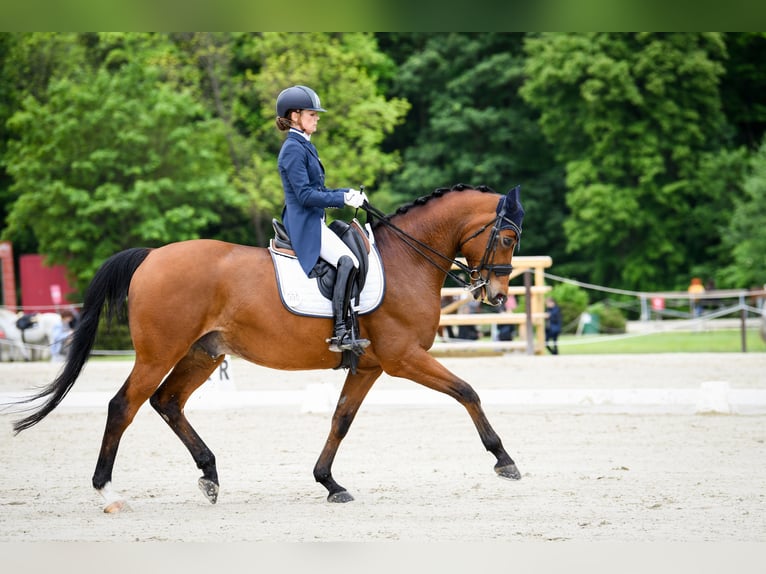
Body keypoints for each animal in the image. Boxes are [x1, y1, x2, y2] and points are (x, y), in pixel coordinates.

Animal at [12, 184, 524, 512]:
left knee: (167, 402)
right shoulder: (403, 358)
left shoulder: (369, 366)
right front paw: (504, 459)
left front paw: (329, 483)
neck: (406, 260)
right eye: (506, 236)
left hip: (203, 354)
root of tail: (151, 256)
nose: (497, 295)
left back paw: (210, 476)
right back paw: (108, 492)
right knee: (124, 406)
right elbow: (467, 391)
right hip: (159, 353)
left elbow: (341, 419)